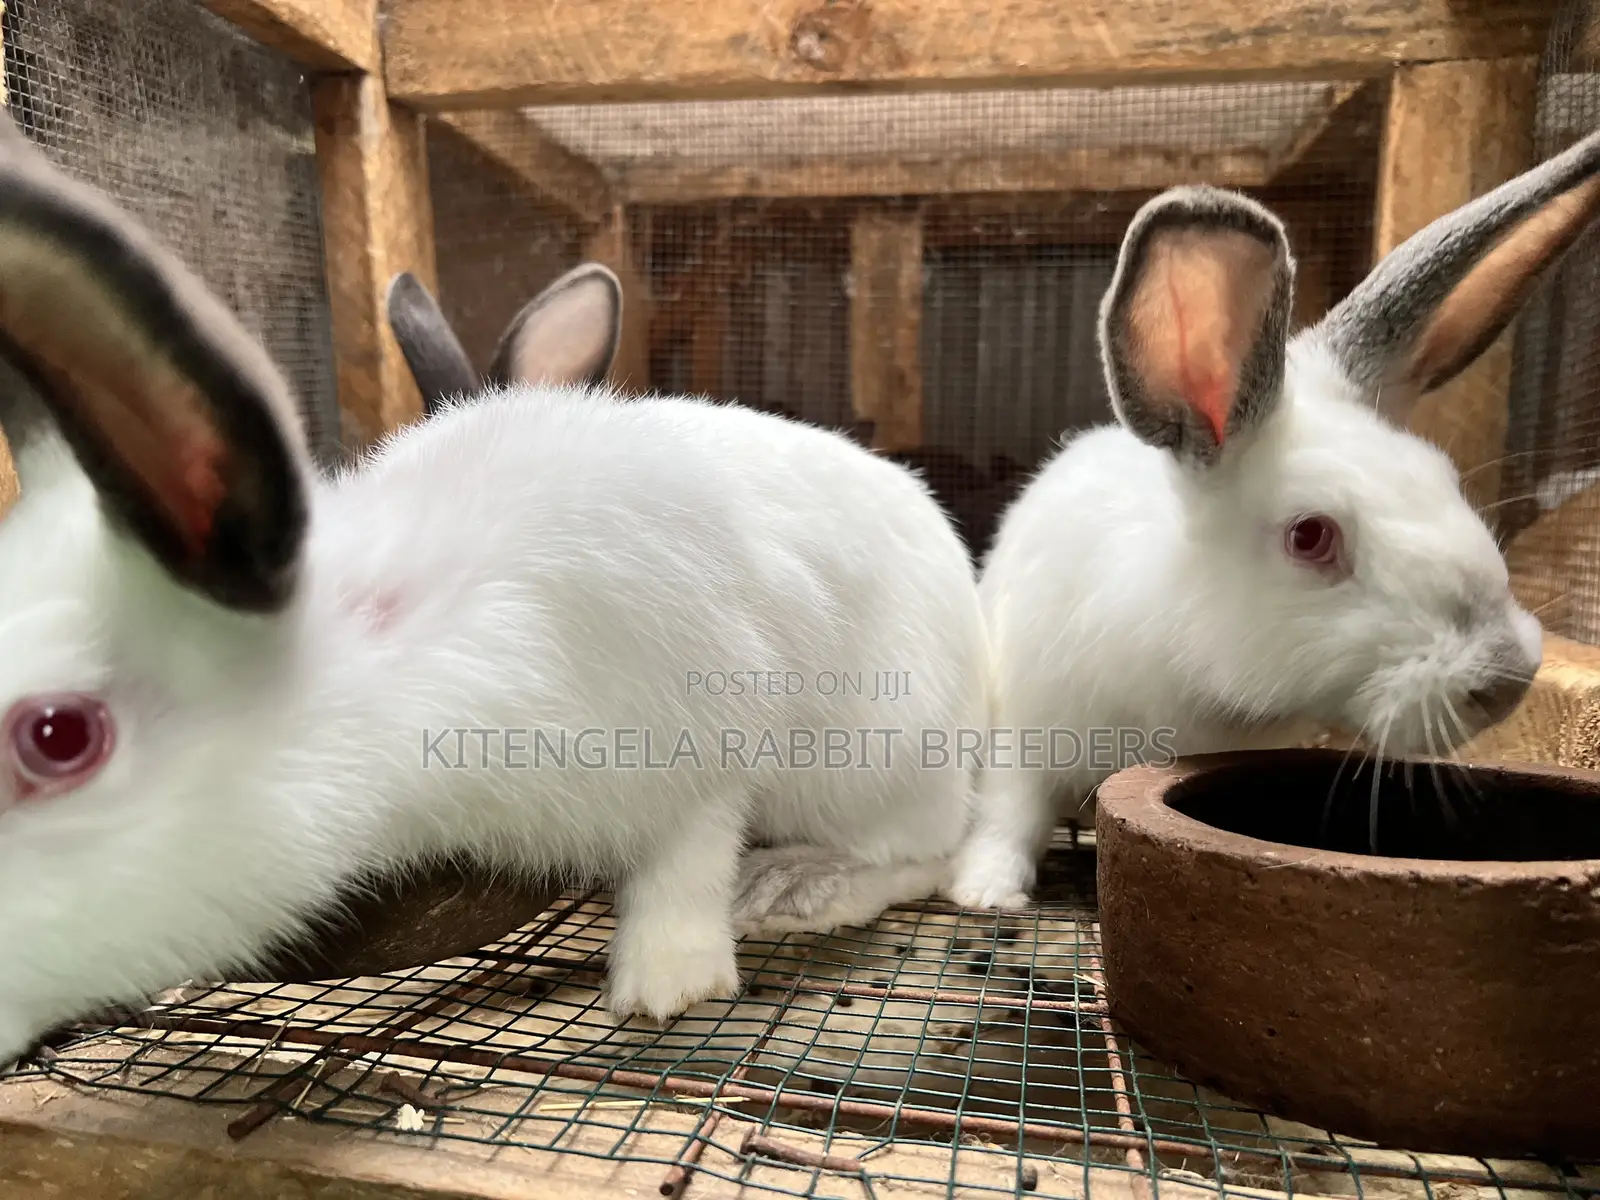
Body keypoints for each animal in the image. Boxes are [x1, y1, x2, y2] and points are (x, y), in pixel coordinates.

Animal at [947, 126, 1600, 911]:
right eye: (1310, 536)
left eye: (1444, 479)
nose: (1507, 678)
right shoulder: (1027, 729)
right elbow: (1007, 816)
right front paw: (987, 893)